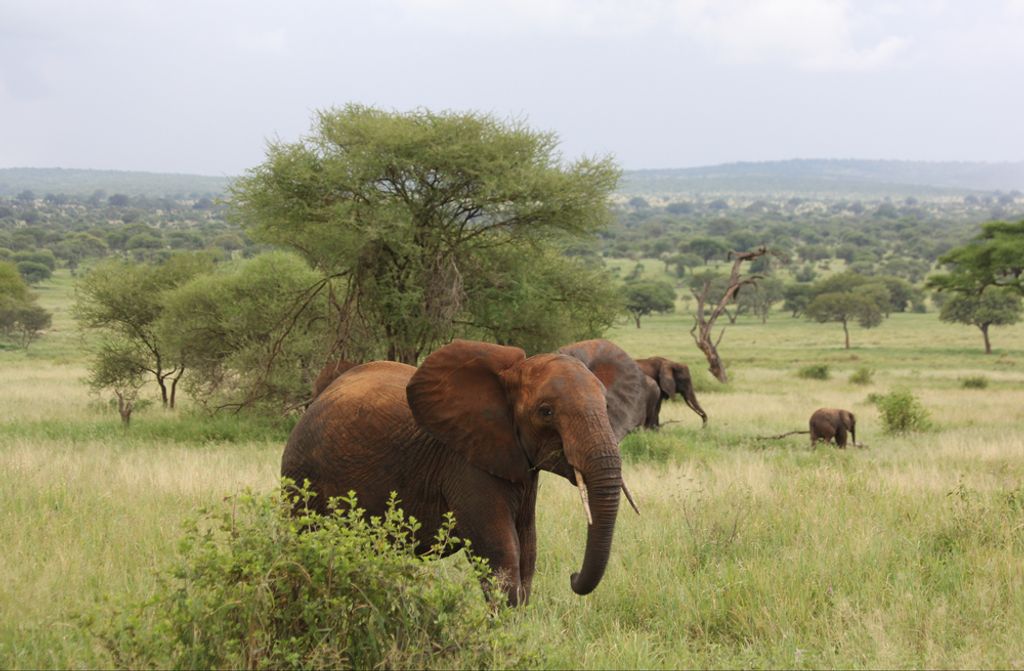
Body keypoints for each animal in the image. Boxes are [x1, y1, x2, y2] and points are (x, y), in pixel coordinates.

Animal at [281, 339, 640, 606]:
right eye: (546, 412)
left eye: (607, 407)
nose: (572, 577)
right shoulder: (464, 463)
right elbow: (501, 551)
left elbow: (528, 548)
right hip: (300, 476)